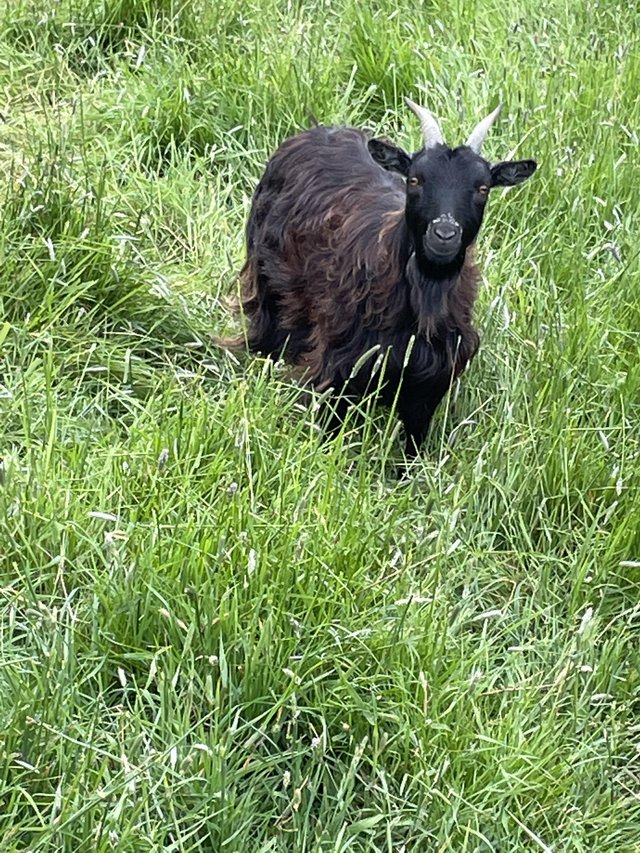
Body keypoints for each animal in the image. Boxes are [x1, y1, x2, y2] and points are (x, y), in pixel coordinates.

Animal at [230, 99, 537, 456]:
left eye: (483, 187)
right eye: (415, 179)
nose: (444, 234)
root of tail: (317, 130)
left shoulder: (428, 386)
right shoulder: (337, 369)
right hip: (268, 287)